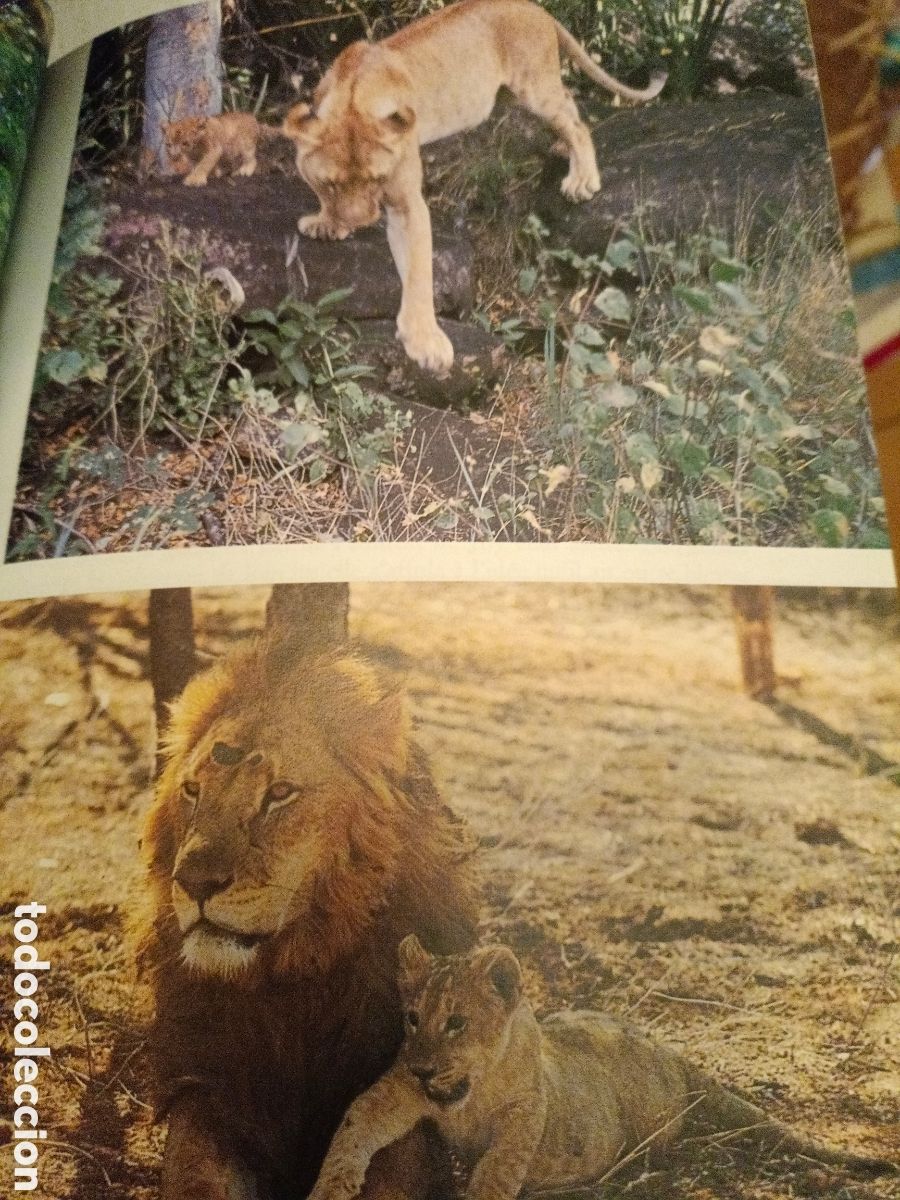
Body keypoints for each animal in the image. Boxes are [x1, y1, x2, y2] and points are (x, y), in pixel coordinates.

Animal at [139, 641, 479, 1200]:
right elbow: (192, 1175)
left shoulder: (406, 1095)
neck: (294, 978)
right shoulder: (211, 1091)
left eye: (279, 793)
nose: (192, 880)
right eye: (191, 790)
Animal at [281, 0, 664, 375]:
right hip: (510, 95)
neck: (353, 95)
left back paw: (581, 178)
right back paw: (561, 149)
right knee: (569, 105)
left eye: (376, 179)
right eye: (330, 184)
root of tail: (536, 9)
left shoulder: (408, 204)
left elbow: (419, 274)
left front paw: (426, 343)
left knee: (576, 123)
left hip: (533, 88)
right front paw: (327, 223)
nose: (359, 222)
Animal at [308, 937, 895, 1200]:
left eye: (456, 1022)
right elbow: (353, 1126)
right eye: (412, 1018)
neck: (468, 1090)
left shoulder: (528, 1110)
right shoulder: (396, 1089)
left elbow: (497, 1169)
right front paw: (331, 1187)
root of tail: (665, 1050)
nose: (425, 1070)